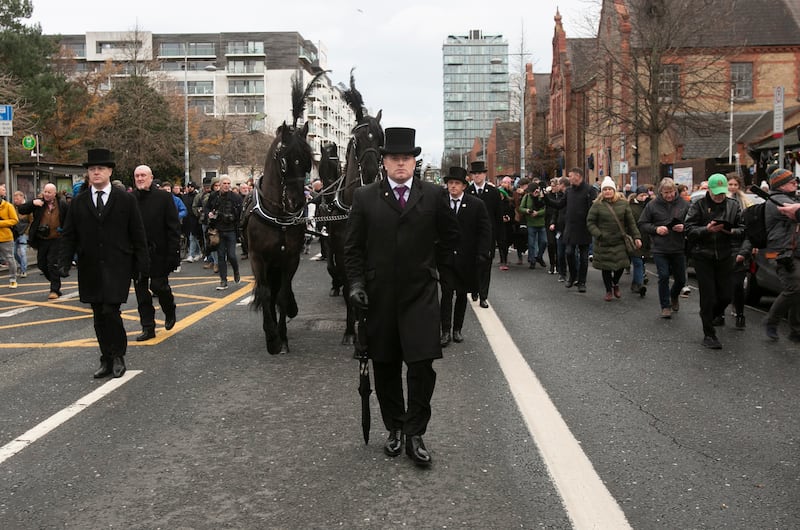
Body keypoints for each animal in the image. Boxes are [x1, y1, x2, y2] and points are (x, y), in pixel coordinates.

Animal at [245, 69, 324, 350]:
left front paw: (282, 332)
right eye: (283, 161)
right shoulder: (258, 257)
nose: (297, 203)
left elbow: (281, 293)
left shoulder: (289, 258)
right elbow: (266, 292)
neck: (277, 216)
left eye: (307, 162)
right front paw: (271, 336)